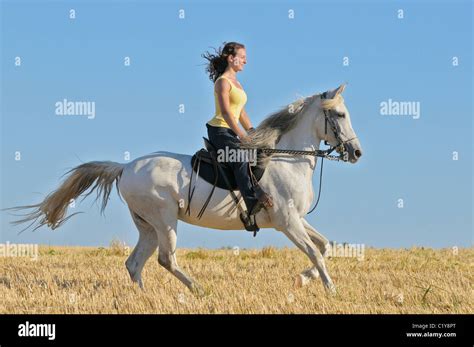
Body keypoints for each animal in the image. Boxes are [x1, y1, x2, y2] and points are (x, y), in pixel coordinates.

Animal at [6, 83, 362, 294]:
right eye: (340, 114)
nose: (356, 153)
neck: (289, 160)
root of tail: (125, 167)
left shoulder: (296, 219)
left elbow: (325, 246)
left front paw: (304, 278)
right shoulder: (287, 222)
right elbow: (315, 251)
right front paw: (330, 290)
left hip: (147, 225)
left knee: (135, 263)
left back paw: (144, 298)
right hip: (164, 219)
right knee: (166, 259)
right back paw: (198, 290)